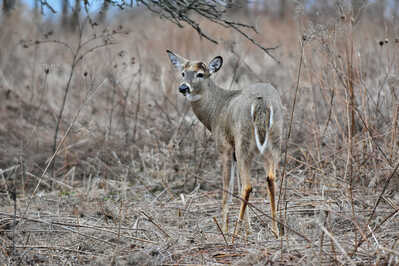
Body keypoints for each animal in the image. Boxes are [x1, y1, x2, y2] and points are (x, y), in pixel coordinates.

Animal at [166, 50, 284, 241]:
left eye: (200, 74)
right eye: (183, 73)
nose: (183, 88)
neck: (215, 111)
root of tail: (262, 102)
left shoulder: (225, 147)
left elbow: (227, 191)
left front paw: (225, 230)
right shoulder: (234, 152)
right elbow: (236, 187)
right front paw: (248, 231)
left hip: (243, 142)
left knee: (248, 186)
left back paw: (233, 235)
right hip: (274, 141)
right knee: (270, 178)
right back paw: (275, 232)